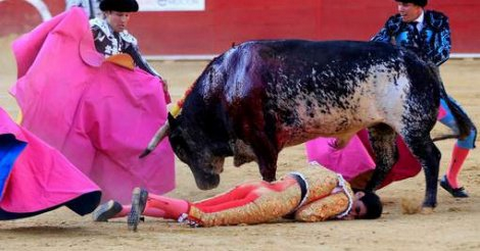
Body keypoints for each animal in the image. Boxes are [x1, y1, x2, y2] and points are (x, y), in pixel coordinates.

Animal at [142, 39, 472, 208]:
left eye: (180, 147)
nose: (206, 184)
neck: (227, 83)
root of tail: (423, 61)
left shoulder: (262, 139)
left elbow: (268, 173)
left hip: (410, 126)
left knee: (431, 157)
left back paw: (428, 201)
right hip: (382, 127)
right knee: (387, 161)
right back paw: (365, 193)